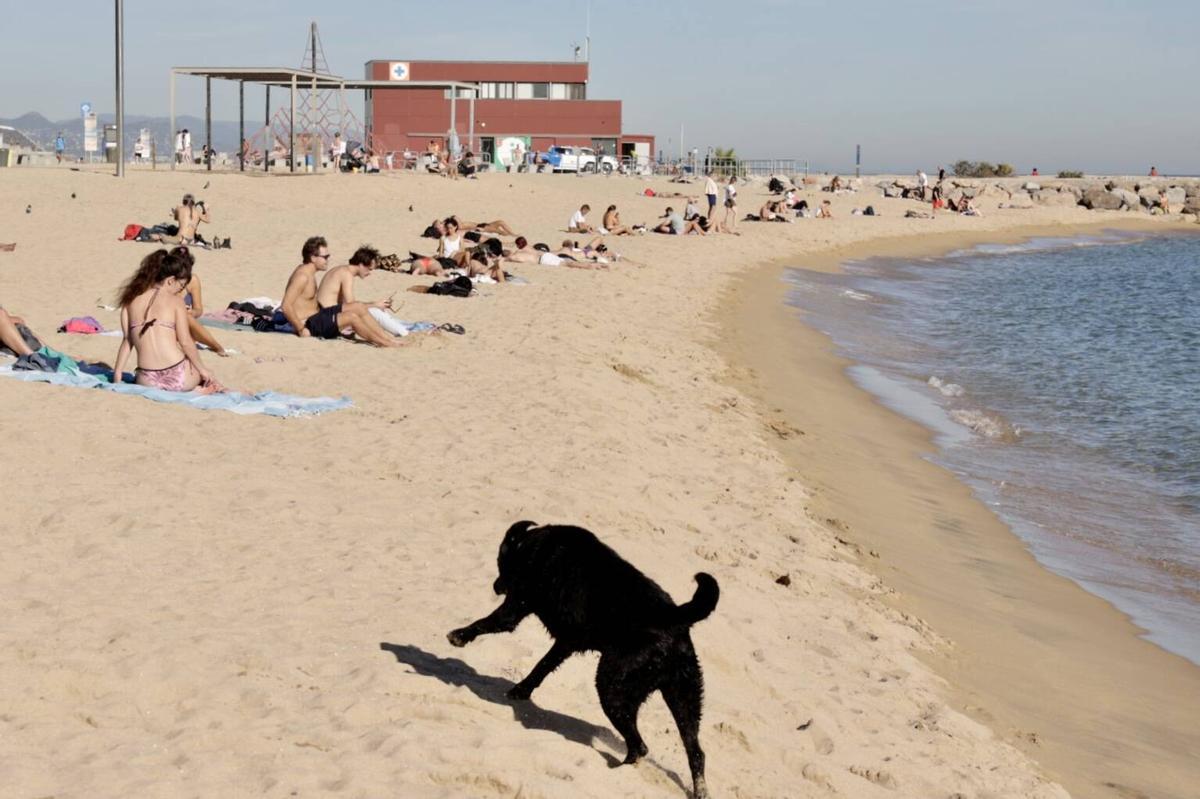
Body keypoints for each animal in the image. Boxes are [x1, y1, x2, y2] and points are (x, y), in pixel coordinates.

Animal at [446, 520, 715, 791]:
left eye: (501, 561)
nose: (495, 586)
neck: (534, 546)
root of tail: (673, 618)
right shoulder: (566, 643)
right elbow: (542, 667)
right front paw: (521, 690)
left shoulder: (516, 606)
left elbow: (487, 623)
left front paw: (459, 635)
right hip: (684, 698)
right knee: (695, 752)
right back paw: (698, 790)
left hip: (612, 689)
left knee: (639, 746)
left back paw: (620, 770)